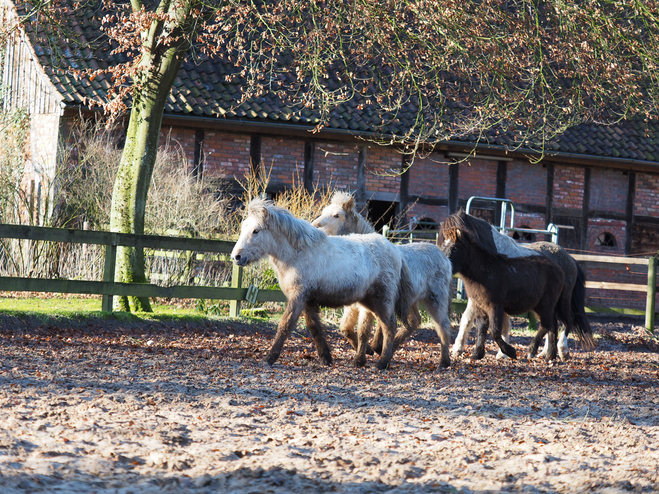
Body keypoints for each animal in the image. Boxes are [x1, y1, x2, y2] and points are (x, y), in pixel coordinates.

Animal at [231, 199, 412, 368]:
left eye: (256, 230)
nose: (236, 256)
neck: (298, 254)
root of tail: (395, 250)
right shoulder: (308, 301)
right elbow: (315, 329)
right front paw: (326, 358)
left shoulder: (298, 297)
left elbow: (285, 325)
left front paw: (270, 358)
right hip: (368, 302)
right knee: (374, 327)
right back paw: (360, 360)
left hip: (382, 299)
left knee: (389, 326)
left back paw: (382, 362)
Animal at [314, 191, 454, 368]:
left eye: (336, 215)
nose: (314, 226)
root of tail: (444, 257)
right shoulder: (353, 306)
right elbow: (346, 329)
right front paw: (367, 351)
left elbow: (366, 329)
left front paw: (368, 352)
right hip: (411, 300)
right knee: (414, 321)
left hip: (436, 300)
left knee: (443, 327)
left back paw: (444, 361)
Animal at [438, 212, 572, 358]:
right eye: (442, 246)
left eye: (455, 248)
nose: (444, 266)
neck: (486, 270)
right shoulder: (480, 305)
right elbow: (478, 327)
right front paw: (476, 353)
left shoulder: (495, 306)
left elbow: (495, 330)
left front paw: (508, 352)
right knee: (552, 324)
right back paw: (548, 354)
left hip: (546, 305)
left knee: (551, 324)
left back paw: (539, 351)